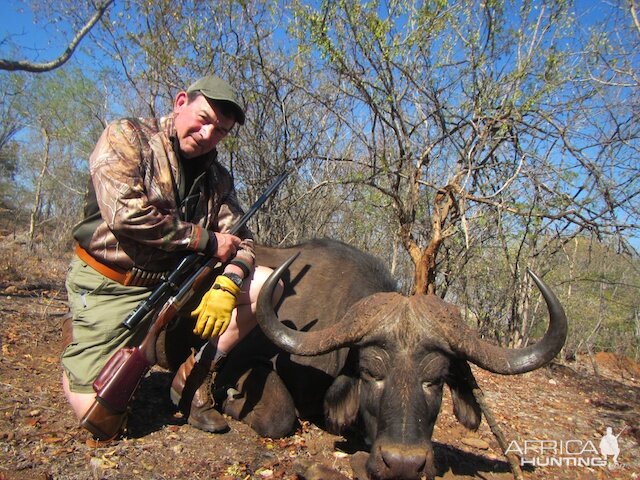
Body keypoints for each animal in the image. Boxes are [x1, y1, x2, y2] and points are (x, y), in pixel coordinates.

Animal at [159, 239, 564, 480]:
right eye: (371, 373)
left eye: (435, 380)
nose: (403, 465)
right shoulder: (247, 366)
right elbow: (280, 417)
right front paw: (225, 401)